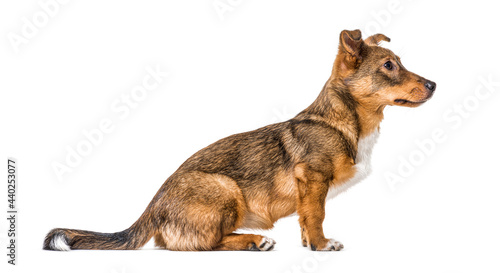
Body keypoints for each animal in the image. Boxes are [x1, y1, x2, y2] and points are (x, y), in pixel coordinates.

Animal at [45, 29, 436, 251]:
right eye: (389, 66)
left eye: (398, 62)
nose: (434, 84)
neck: (346, 121)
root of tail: (153, 207)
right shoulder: (312, 179)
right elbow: (316, 215)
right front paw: (322, 245)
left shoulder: (308, 188)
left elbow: (305, 219)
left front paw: (308, 244)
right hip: (225, 190)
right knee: (204, 244)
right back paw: (254, 241)